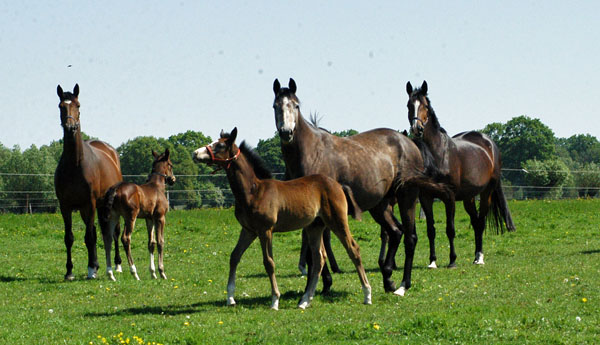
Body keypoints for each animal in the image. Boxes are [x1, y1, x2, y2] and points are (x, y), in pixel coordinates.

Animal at [54, 83, 123, 280]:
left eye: (78, 105)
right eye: (61, 106)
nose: (70, 127)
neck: (75, 165)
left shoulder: (89, 203)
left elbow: (89, 237)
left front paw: (91, 269)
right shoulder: (65, 206)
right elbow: (69, 237)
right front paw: (69, 272)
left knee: (114, 232)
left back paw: (116, 265)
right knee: (95, 231)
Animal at [100, 148, 176, 280]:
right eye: (170, 165)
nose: (173, 179)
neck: (157, 187)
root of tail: (115, 189)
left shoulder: (149, 218)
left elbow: (151, 243)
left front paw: (153, 273)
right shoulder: (160, 217)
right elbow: (160, 241)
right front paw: (161, 272)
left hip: (113, 217)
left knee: (108, 238)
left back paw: (110, 274)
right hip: (130, 217)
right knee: (125, 238)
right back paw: (134, 272)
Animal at [192, 127, 370, 310]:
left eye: (220, 145)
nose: (195, 153)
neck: (253, 191)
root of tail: (338, 185)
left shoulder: (265, 231)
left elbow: (269, 262)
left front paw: (275, 300)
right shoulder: (248, 231)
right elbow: (234, 256)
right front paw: (230, 298)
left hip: (337, 221)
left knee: (353, 249)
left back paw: (367, 294)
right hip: (315, 227)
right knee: (319, 258)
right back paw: (305, 300)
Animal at [270, 78, 450, 296]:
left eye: (296, 105)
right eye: (276, 106)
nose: (286, 132)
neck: (311, 152)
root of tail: (409, 143)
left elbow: (318, 248)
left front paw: (321, 283)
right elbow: (314, 248)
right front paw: (320, 284)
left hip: (407, 197)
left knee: (410, 237)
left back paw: (403, 284)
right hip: (380, 206)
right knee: (395, 232)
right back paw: (388, 277)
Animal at [406, 80, 516, 266]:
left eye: (425, 106)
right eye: (408, 105)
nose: (417, 128)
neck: (438, 154)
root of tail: (490, 144)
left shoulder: (449, 197)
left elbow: (450, 229)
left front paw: (452, 261)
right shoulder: (426, 197)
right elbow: (430, 230)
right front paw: (432, 261)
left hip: (486, 193)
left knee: (481, 222)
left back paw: (479, 258)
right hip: (468, 198)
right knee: (476, 222)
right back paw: (476, 256)